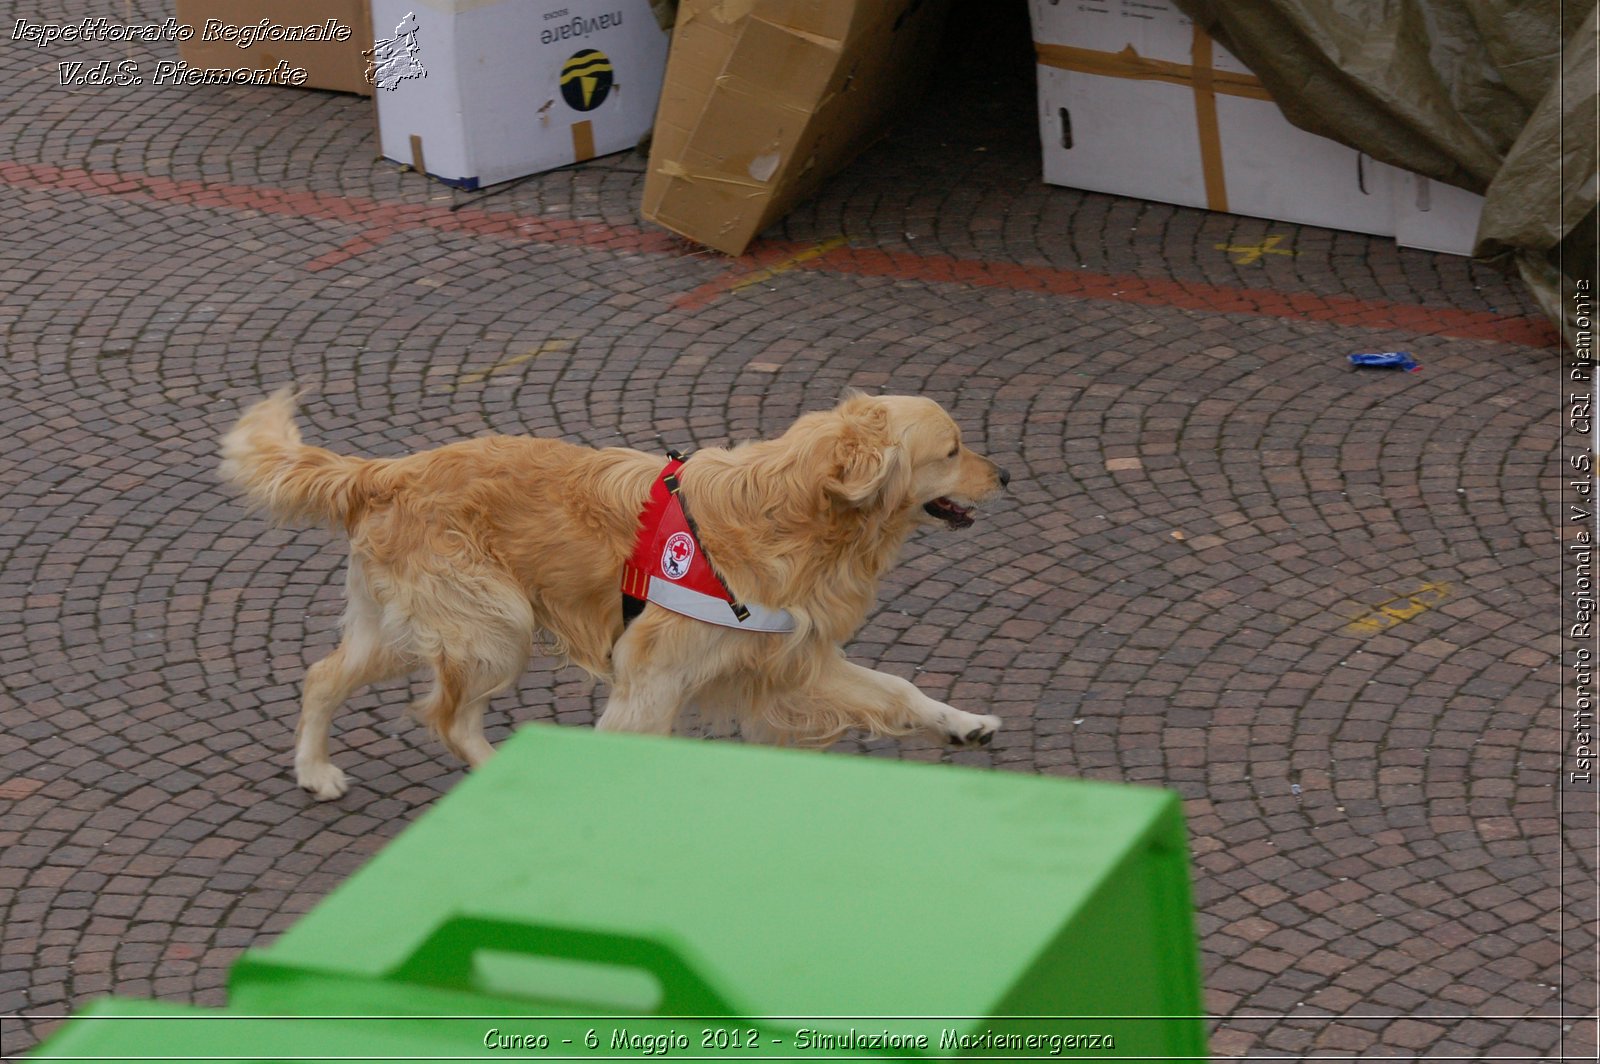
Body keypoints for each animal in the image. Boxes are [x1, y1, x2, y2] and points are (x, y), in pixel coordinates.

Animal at [219, 390, 1004, 796]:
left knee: (322, 676)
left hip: (407, 627)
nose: (1004, 476)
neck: (792, 514)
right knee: (449, 718)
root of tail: (386, 471)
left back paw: (314, 769)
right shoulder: (651, 684)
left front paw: (963, 723)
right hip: (494, 626)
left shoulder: (791, 661)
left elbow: (899, 689)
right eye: (953, 449)